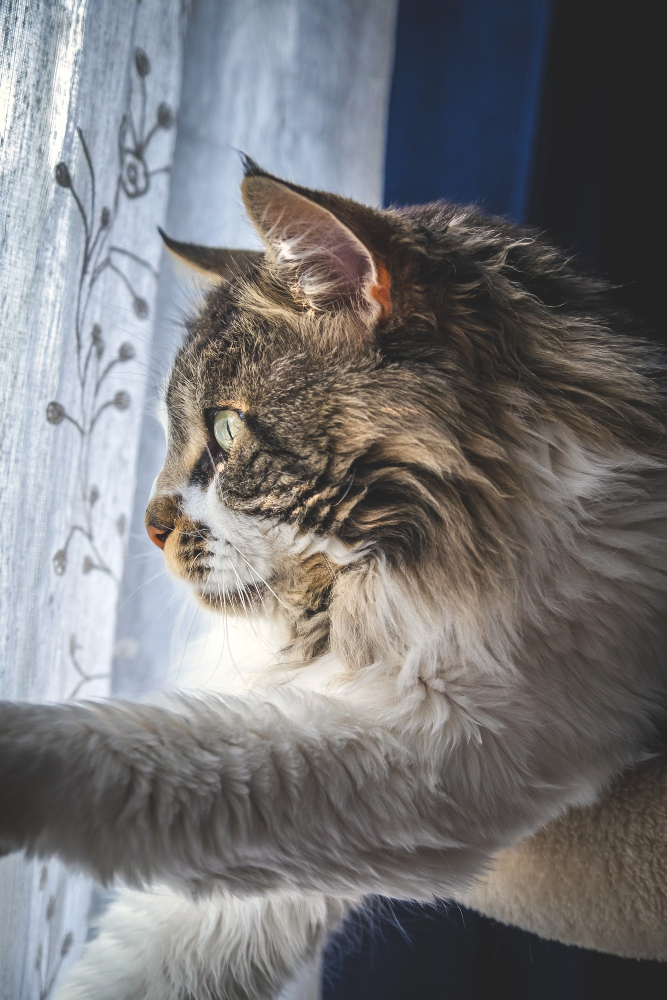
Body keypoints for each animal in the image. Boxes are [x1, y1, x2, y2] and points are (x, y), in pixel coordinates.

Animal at [1, 158, 667, 1000]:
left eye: (224, 431)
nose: (148, 529)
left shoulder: (456, 737)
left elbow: (145, 755)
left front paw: (19, 754)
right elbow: (142, 952)